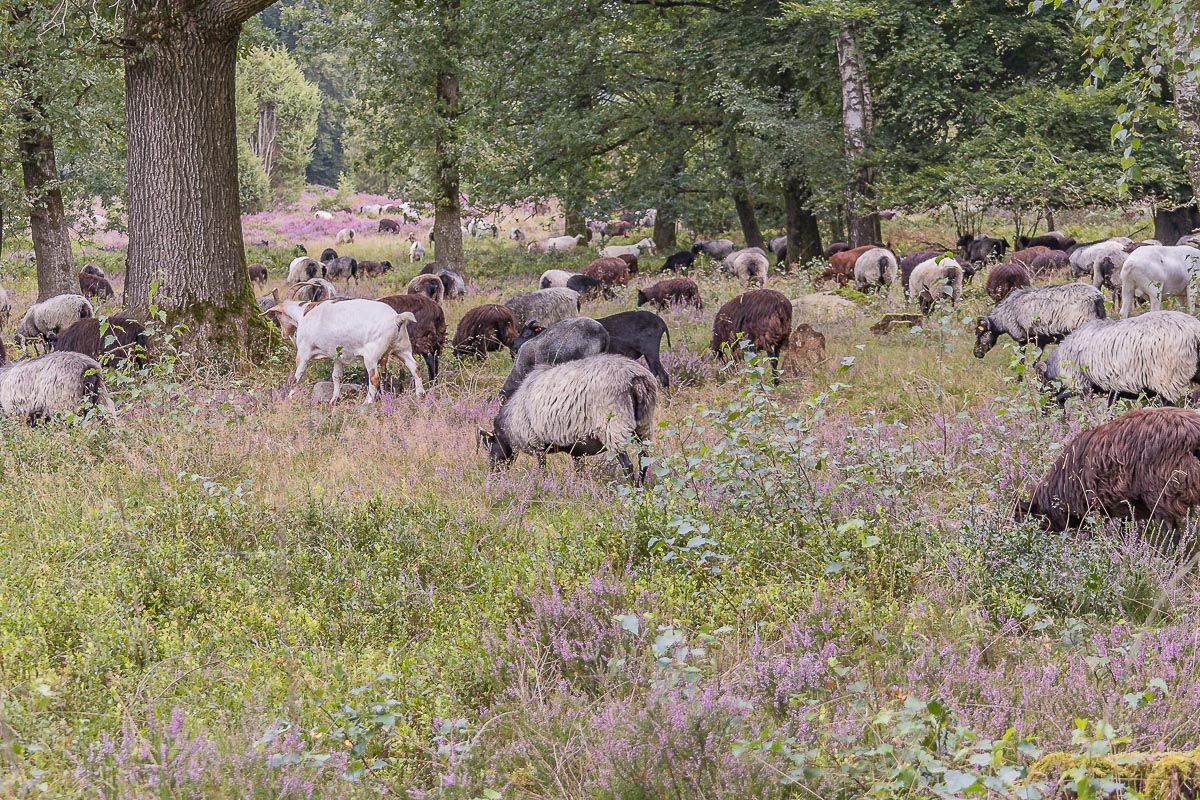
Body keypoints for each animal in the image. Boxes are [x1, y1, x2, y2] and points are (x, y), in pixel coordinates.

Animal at [264, 297, 427, 402]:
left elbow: (297, 377)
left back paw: (366, 403)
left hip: (371, 356)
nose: (284, 334)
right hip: (402, 349)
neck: (304, 313)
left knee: (374, 378)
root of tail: (396, 318)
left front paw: (289, 398)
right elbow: (336, 376)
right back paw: (420, 395)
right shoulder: (337, 356)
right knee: (415, 367)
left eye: (278, 315)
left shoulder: (303, 353)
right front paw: (334, 400)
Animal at [477, 352, 662, 484]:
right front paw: (579, 486)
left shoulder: (536, 442)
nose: (493, 478)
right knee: (644, 460)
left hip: (613, 425)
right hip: (644, 425)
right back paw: (640, 487)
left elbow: (542, 467)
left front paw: (542, 483)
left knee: (628, 465)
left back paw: (633, 492)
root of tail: (635, 378)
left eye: (491, 448)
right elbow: (579, 469)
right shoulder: (577, 447)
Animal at [974, 280, 1104, 357]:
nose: (976, 353)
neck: (1002, 318)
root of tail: (1096, 297)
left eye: (980, 334)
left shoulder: (1021, 339)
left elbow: (1021, 361)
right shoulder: (1040, 341)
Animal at [1036, 309, 1200, 402]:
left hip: (1168, 379)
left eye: (1041, 381)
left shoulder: (1080, 385)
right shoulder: (1111, 390)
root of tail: (1195, 331)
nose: (1043, 408)